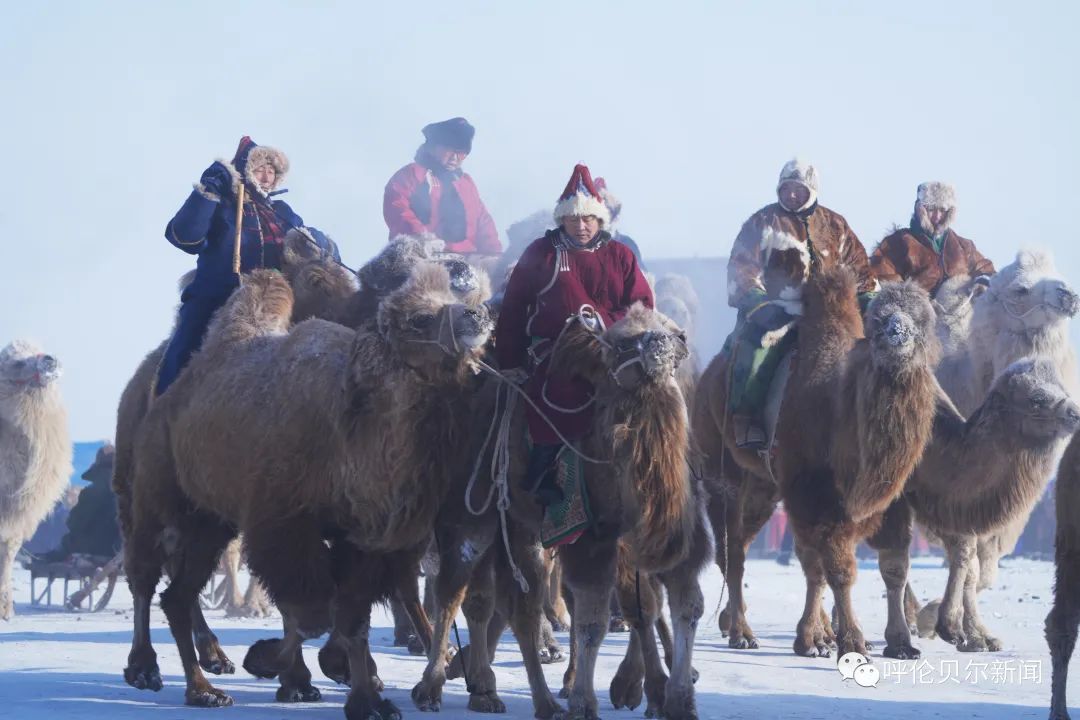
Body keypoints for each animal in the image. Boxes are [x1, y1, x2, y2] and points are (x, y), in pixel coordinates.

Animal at [122, 264, 490, 720]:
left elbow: (351, 618)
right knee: (144, 573)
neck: (351, 433)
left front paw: (367, 700)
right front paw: (273, 663)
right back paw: (147, 670)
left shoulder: (362, 538)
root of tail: (168, 395)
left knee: (177, 594)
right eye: (420, 317)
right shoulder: (283, 522)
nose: (477, 315)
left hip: (210, 522)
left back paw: (204, 687)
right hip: (158, 493)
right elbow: (313, 614)